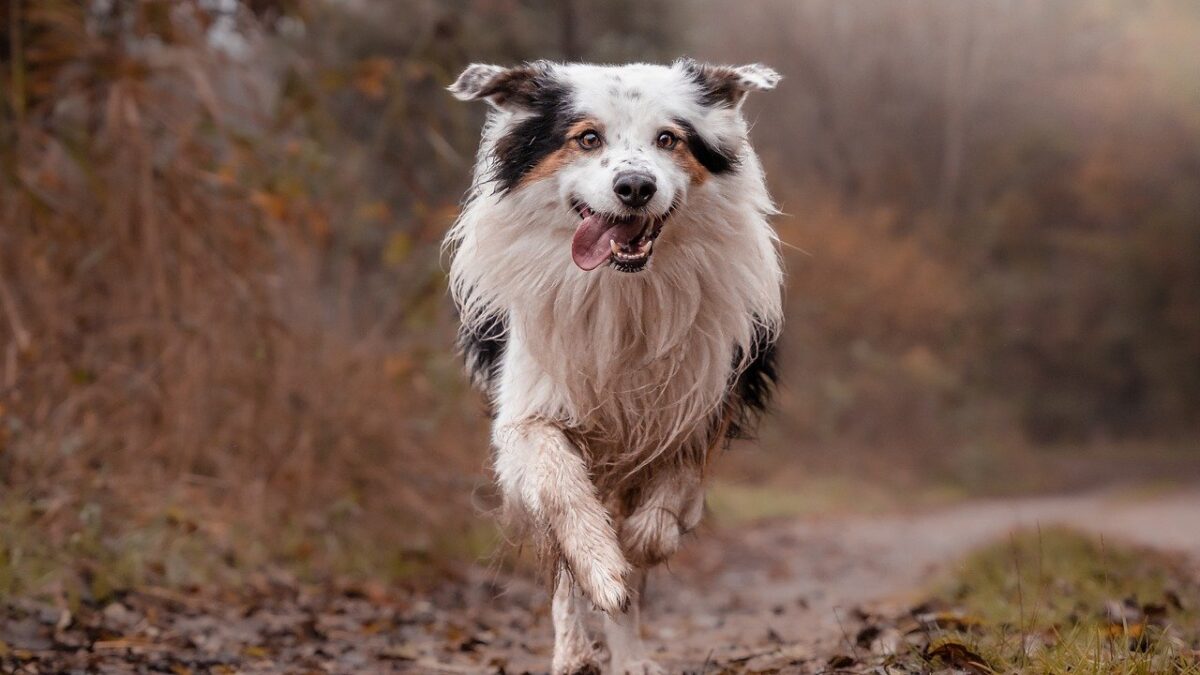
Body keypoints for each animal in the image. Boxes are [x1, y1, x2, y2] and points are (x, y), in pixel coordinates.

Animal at [446, 59, 782, 672]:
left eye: (668, 139)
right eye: (587, 139)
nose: (635, 187)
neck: (623, 291)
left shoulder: (703, 400)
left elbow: (667, 505)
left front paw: (637, 545)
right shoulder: (526, 415)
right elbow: (562, 494)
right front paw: (602, 568)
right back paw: (575, 650)